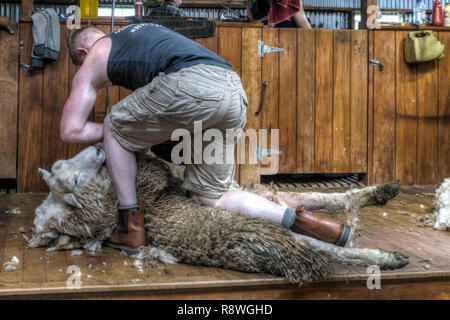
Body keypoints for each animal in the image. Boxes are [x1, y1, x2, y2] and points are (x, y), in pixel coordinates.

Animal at [28, 146, 408, 284]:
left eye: (66, 172)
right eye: (73, 181)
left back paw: (381, 193)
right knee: (329, 246)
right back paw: (386, 256)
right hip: (269, 232)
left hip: (270, 200)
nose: (96, 149)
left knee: (322, 201)